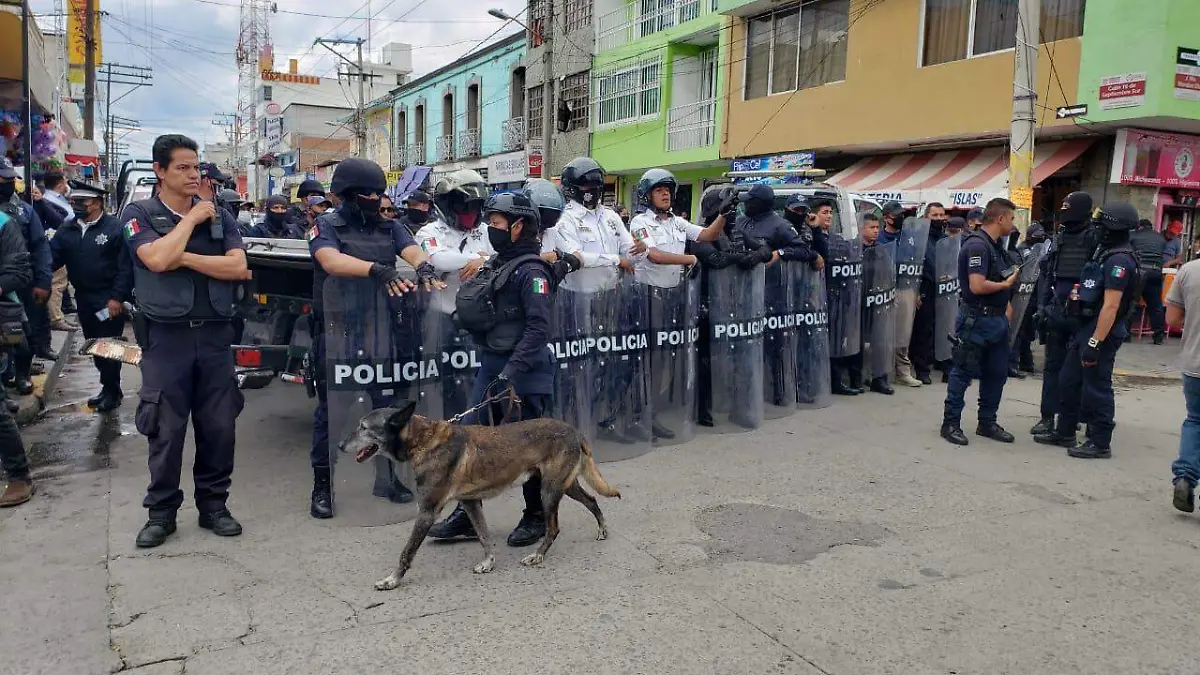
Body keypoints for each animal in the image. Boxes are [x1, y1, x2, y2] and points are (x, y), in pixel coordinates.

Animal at [336, 398, 619, 588]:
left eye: (363, 427)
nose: (338, 445)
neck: (423, 440)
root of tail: (575, 430)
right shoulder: (471, 502)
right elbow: (483, 535)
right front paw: (489, 562)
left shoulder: (427, 511)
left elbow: (407, 551)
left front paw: (392, 580)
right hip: (564, 485)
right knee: (592, 499)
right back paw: (602, 528)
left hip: (549, 490)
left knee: (553, 528)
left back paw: (537, 555)